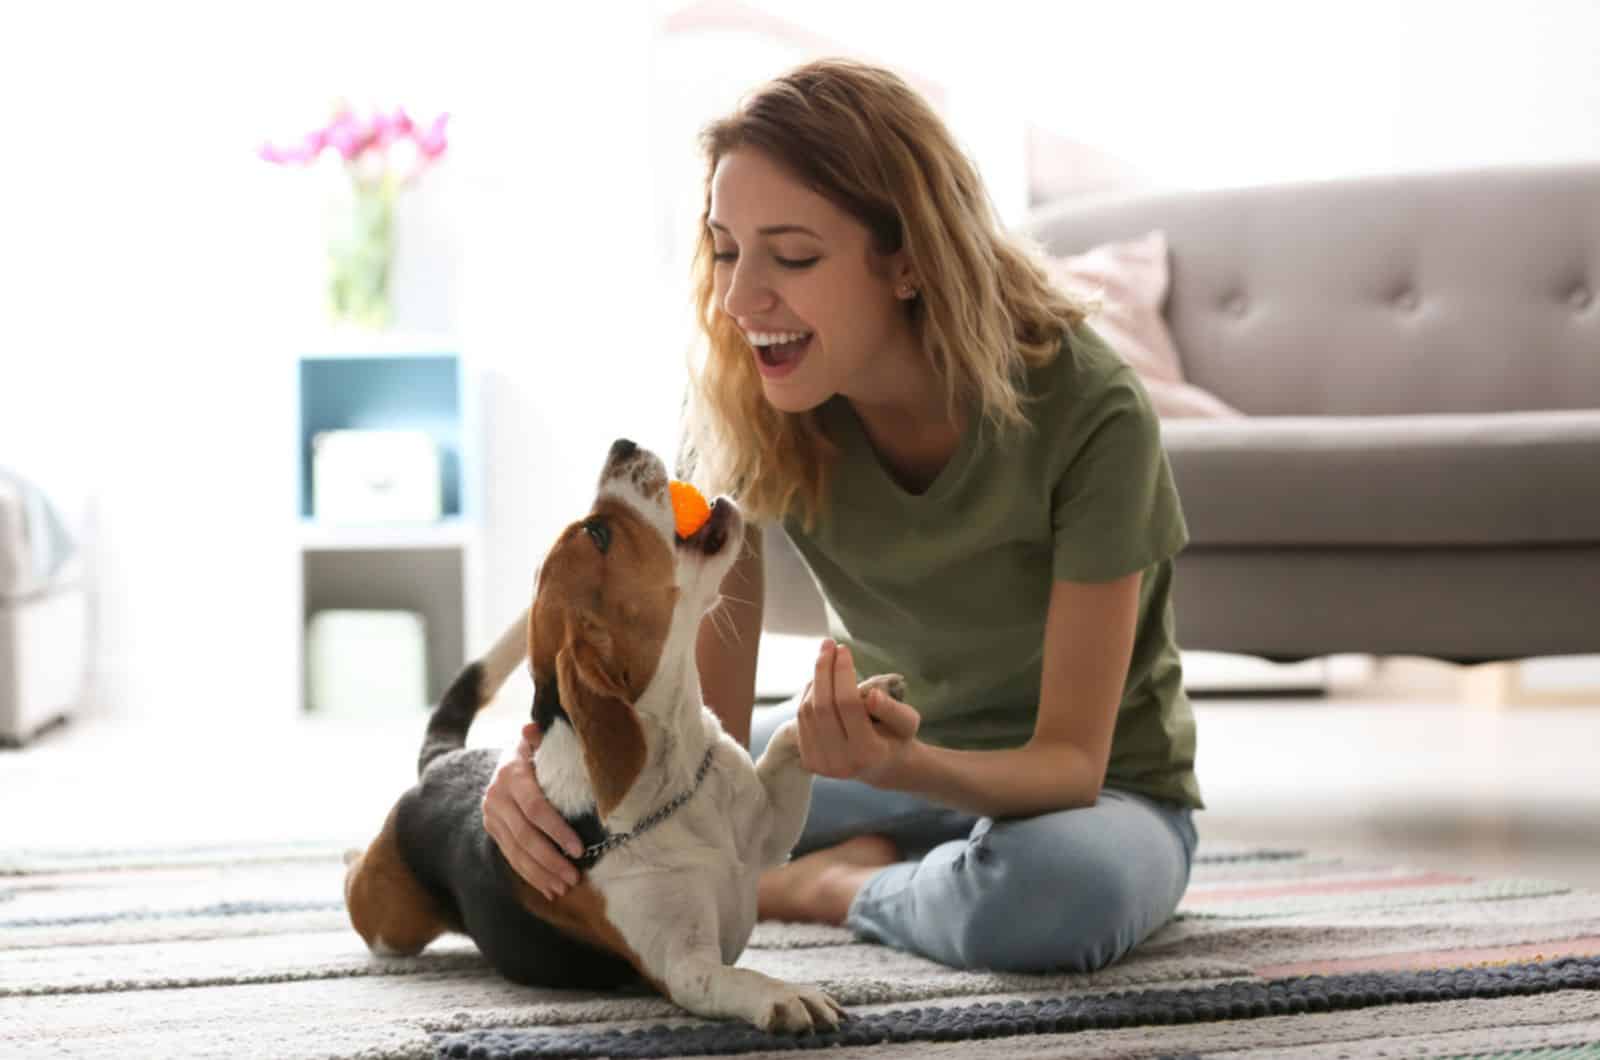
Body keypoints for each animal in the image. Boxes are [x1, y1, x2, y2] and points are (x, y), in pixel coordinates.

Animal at [342, 438, 896, 1037]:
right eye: (598, 534)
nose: (622, 445)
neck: (675, 776)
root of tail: (442, 762)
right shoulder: (685, 966)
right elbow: (736, 978)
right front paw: (785, 994)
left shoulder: (770, 834)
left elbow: (790, 739)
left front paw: (854, 700)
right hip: (388, 923)